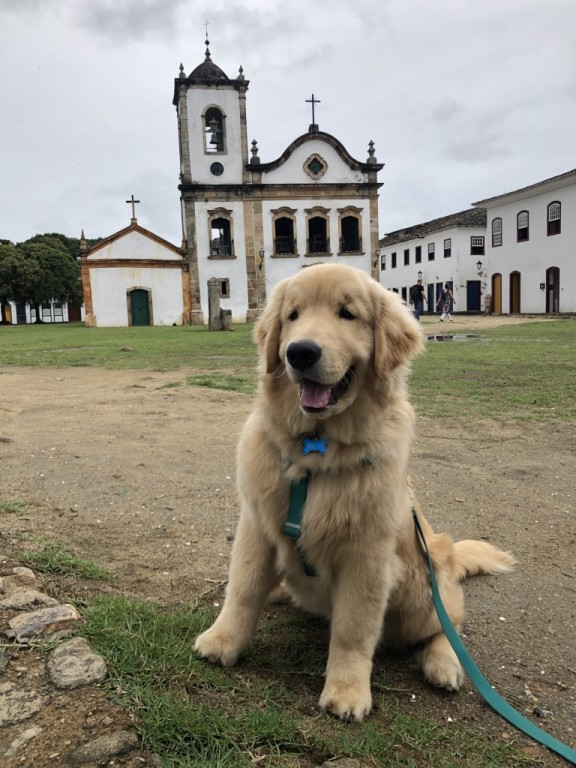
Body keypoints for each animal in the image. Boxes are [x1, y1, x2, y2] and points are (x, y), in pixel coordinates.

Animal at [196, 262, 516, 720]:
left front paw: (347, 692)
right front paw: (222, 642)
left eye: (347, 314)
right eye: (292, 315)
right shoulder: (256, 527)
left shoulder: (366, 557)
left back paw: (444, 665)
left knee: (449, 622)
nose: (300, 352)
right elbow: (242, 590)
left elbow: (353, 629)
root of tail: (448, 555)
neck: (315, 451)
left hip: (421, 590)